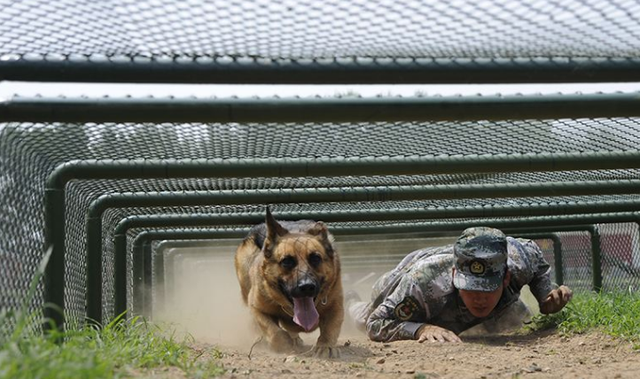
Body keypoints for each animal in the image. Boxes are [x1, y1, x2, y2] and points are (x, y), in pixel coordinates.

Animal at [236, 209, 344, 358]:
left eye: (316, 258)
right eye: (287, 261)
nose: (306, 286)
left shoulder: (335, 306)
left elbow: (330, 328)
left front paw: (325, 346)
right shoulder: (257, 308)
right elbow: (274, 332)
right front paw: (284, 344)